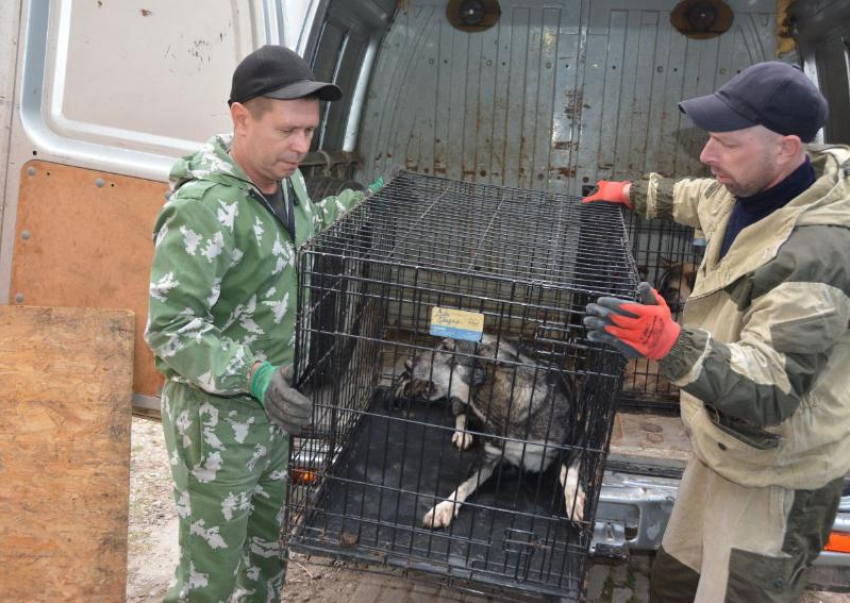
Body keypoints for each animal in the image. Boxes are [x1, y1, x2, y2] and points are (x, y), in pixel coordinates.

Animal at [390, 338, 584, 532]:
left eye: (447, 348)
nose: (407, 364)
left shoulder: (575, 438)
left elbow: (568, 472)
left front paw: (575, 503)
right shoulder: (487, 458)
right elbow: (464, 485)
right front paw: (444, 508)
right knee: (459, 411)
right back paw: (463, 433)